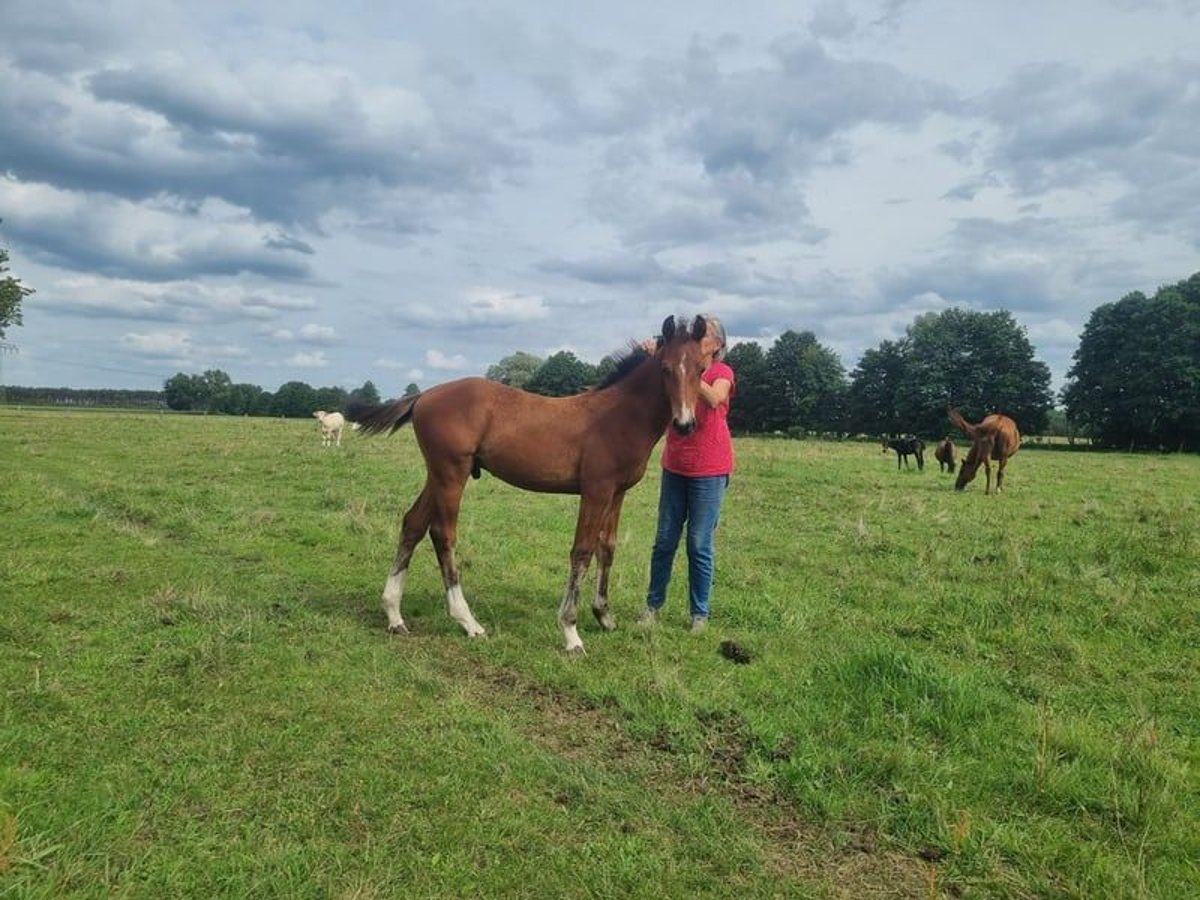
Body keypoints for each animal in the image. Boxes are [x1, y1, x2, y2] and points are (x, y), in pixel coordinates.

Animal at [345, 316, 710, 657]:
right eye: (665, 369)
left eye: (701, 369)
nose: (684, 424)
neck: (617, 417)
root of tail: (424, 396)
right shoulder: (596, 490)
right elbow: (582, 551)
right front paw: (571, 632)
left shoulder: (617, 492)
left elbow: (607, 547)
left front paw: (605, 616)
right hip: (451, 474)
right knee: (443, 533)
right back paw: (468, 622)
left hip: (437, 475)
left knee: (413, 524)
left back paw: (395, 615)